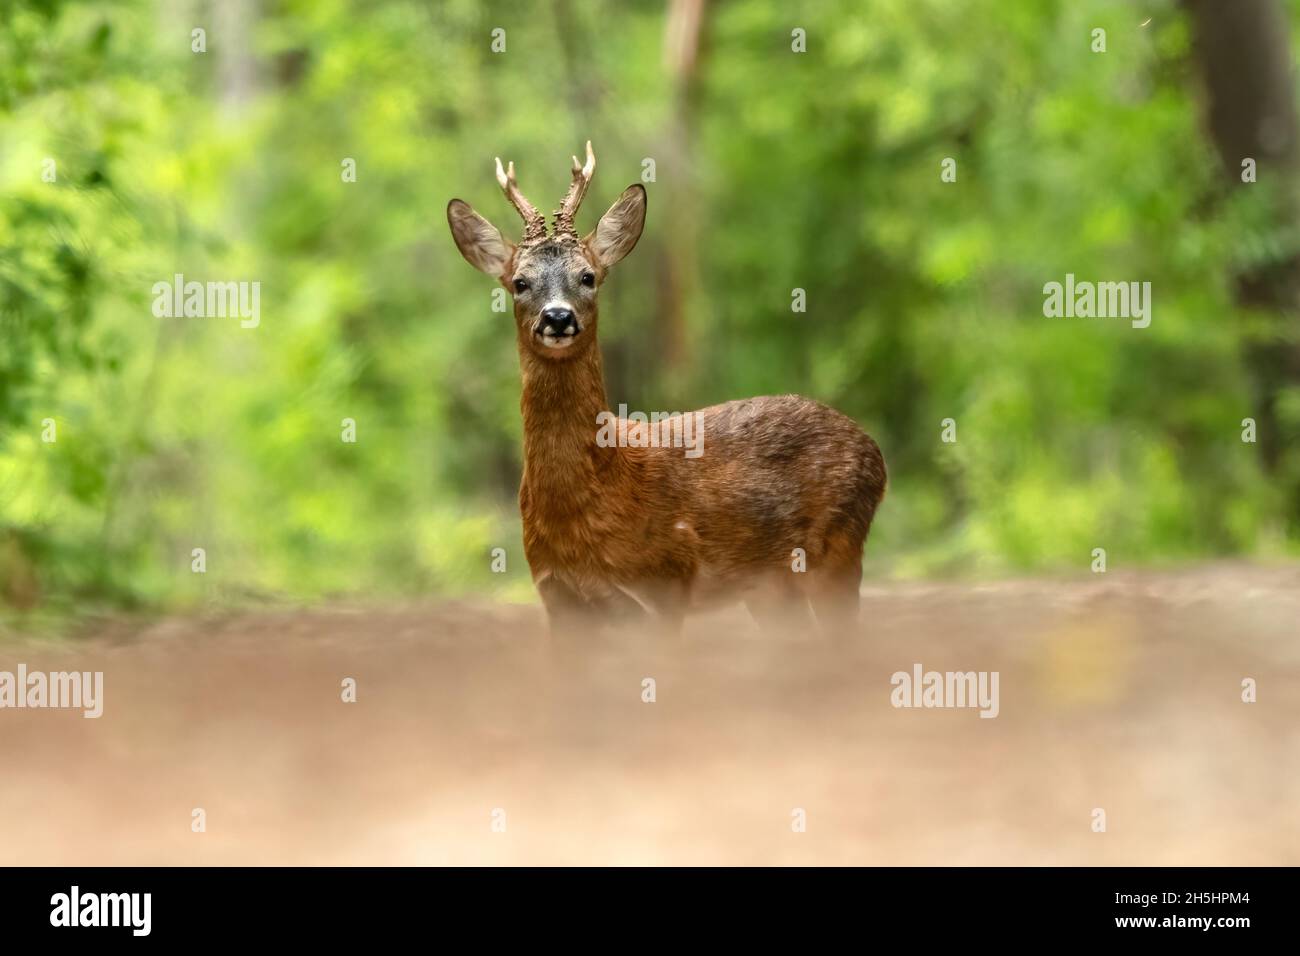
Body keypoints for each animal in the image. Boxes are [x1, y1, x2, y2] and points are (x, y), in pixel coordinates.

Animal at [447, 143, 883, 634]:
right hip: (772, 586)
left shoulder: (668, 579)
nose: (558, 317)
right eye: (519, 282)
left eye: (588, 276)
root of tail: (874, 451)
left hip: (839, 545)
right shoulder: (556, 594)